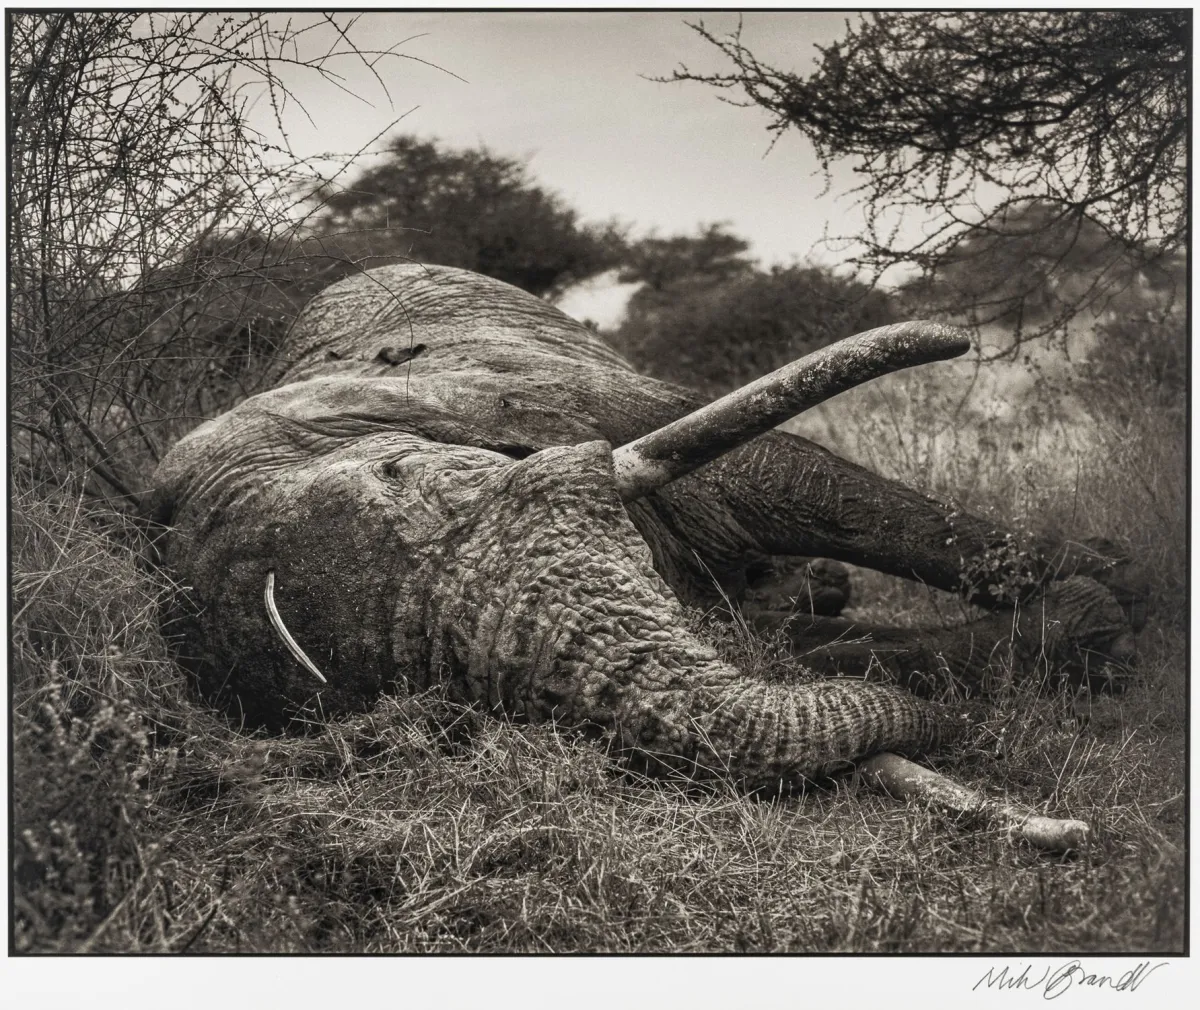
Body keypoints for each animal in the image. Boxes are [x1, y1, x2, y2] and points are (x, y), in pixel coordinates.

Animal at [149, 264, 1142, 792]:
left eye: (423, 478)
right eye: (438, 689)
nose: (949, 732)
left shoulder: (528, 392)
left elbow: (779, 472)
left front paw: (1109, 583)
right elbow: (784, 643)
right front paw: (1090, 627)